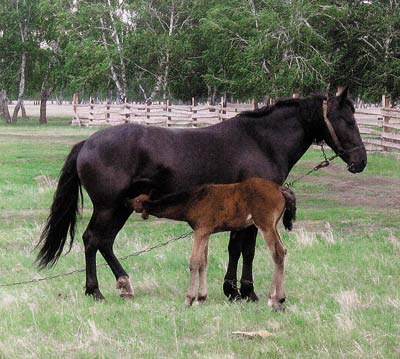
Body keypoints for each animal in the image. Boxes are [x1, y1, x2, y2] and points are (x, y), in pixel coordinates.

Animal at [126, 179, 296, 310]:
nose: (127, 201)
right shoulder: (206, 233)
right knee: (283, 251)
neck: (192, 200)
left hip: (265, 225)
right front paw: (201, 297)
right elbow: (203, 262)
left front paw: (189, 299)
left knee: (278, 253)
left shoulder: (200, 231)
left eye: (137, 200)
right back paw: (273, 297)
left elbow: (194, 262)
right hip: (273, 226)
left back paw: (277, 299)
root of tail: (279, 188)